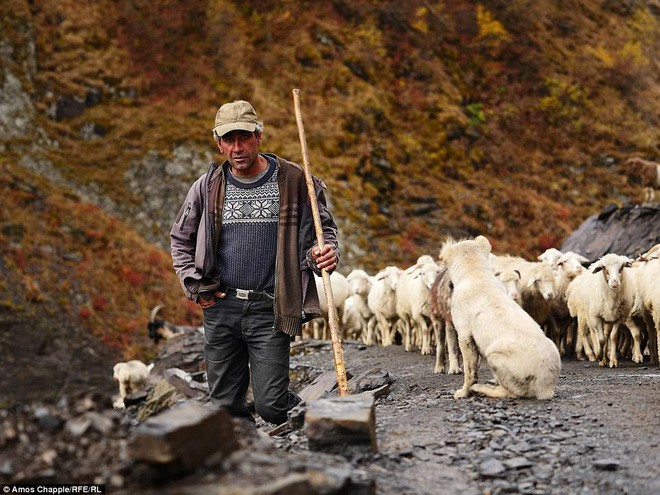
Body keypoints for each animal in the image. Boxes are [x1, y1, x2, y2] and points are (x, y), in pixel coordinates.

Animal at [438, 234, 564, 402]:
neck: (476, 273)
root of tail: (546, 387)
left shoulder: (465, 333)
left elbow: (469, 369)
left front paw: (463, 392)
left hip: (495, 353)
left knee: (512, 392)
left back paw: (481, 389)